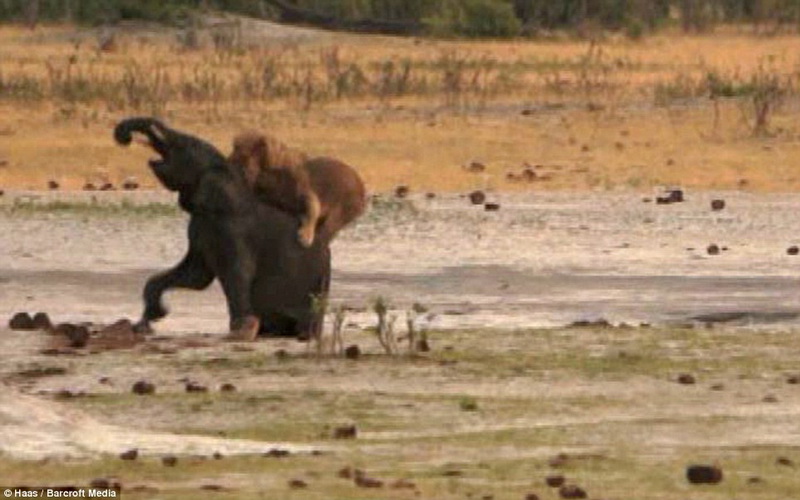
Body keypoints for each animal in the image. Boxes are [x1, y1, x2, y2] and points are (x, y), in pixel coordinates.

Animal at [228, 131, 367, 247]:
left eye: (242, 154)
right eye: (235, 150)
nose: (230, 160)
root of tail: (361, 187)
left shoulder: (304, 187)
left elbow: (312, 207)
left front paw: (305, 237)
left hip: (345, 206)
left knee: (330, 226)